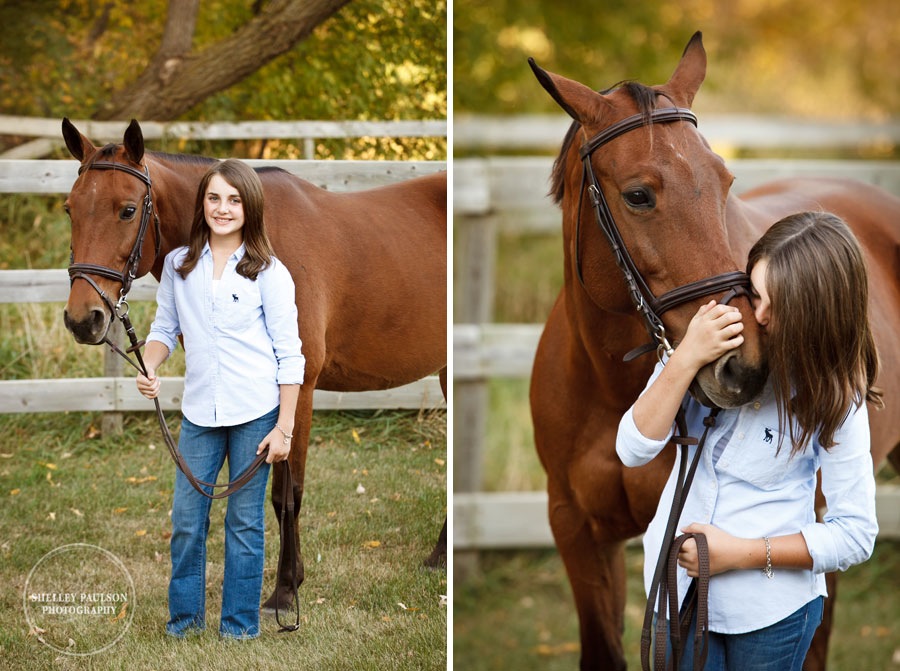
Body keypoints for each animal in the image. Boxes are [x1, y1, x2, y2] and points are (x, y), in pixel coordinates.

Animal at [59, 121, 446, 616]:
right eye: (70, 209)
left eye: (127, 210)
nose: (82, 318)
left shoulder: (299, 390)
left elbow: (286, 494)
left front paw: (285, 591)